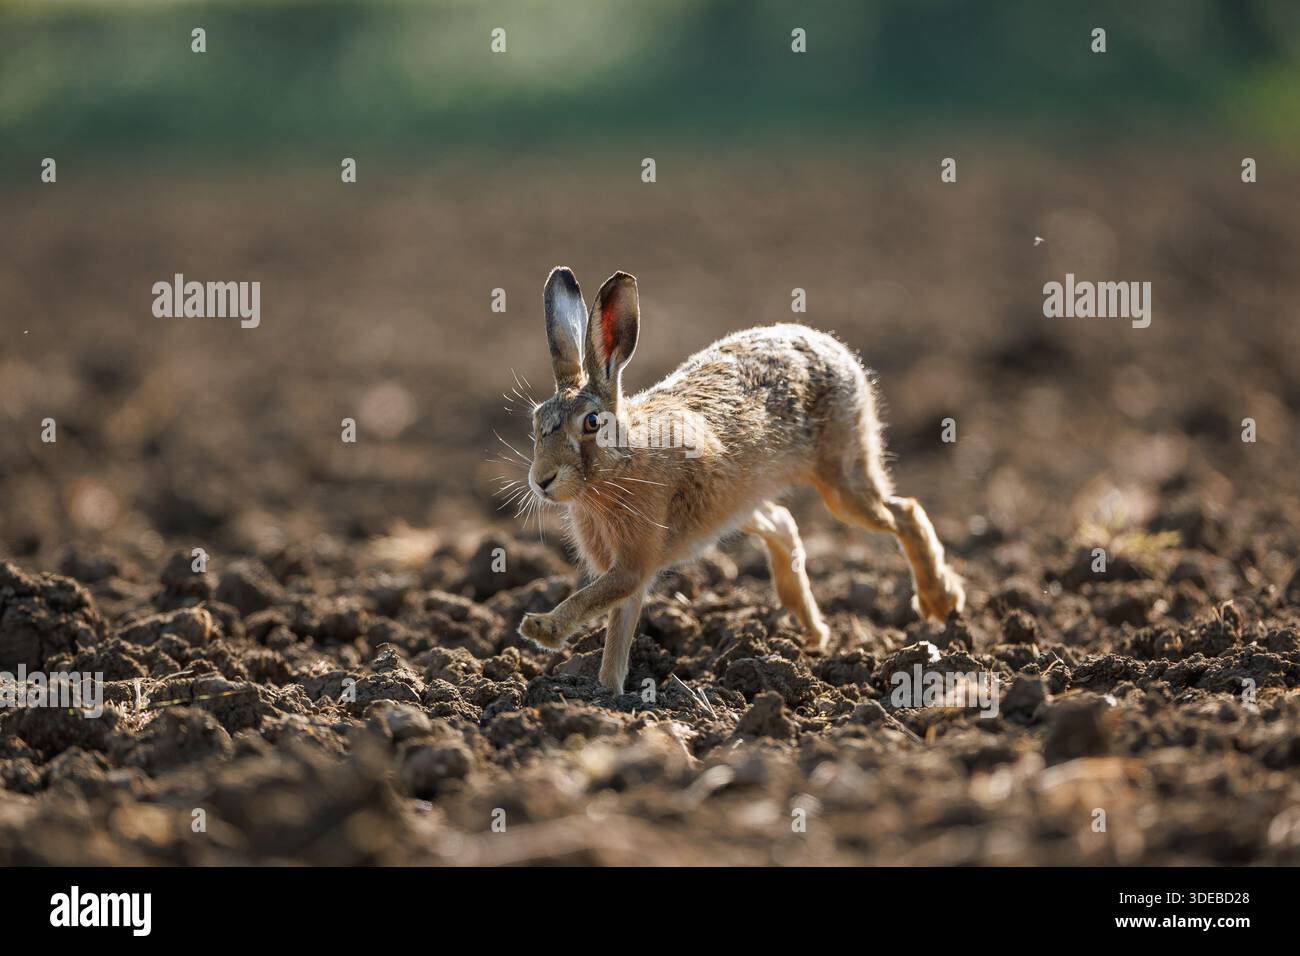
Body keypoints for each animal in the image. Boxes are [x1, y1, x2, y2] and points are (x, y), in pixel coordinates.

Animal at [518, 266, 965, 694]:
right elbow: (618, 629)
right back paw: (813, 630)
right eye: (536, 420)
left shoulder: (634, 560)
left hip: (842, 478)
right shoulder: (631, 571)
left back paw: (938, 601)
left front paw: (541, 628)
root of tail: (830, 345)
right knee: (783, 523)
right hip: (738, 502)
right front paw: (608, 692)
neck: (620, 463)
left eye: (592, 423)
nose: (542, 480)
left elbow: (598, 599)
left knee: (904, 512)